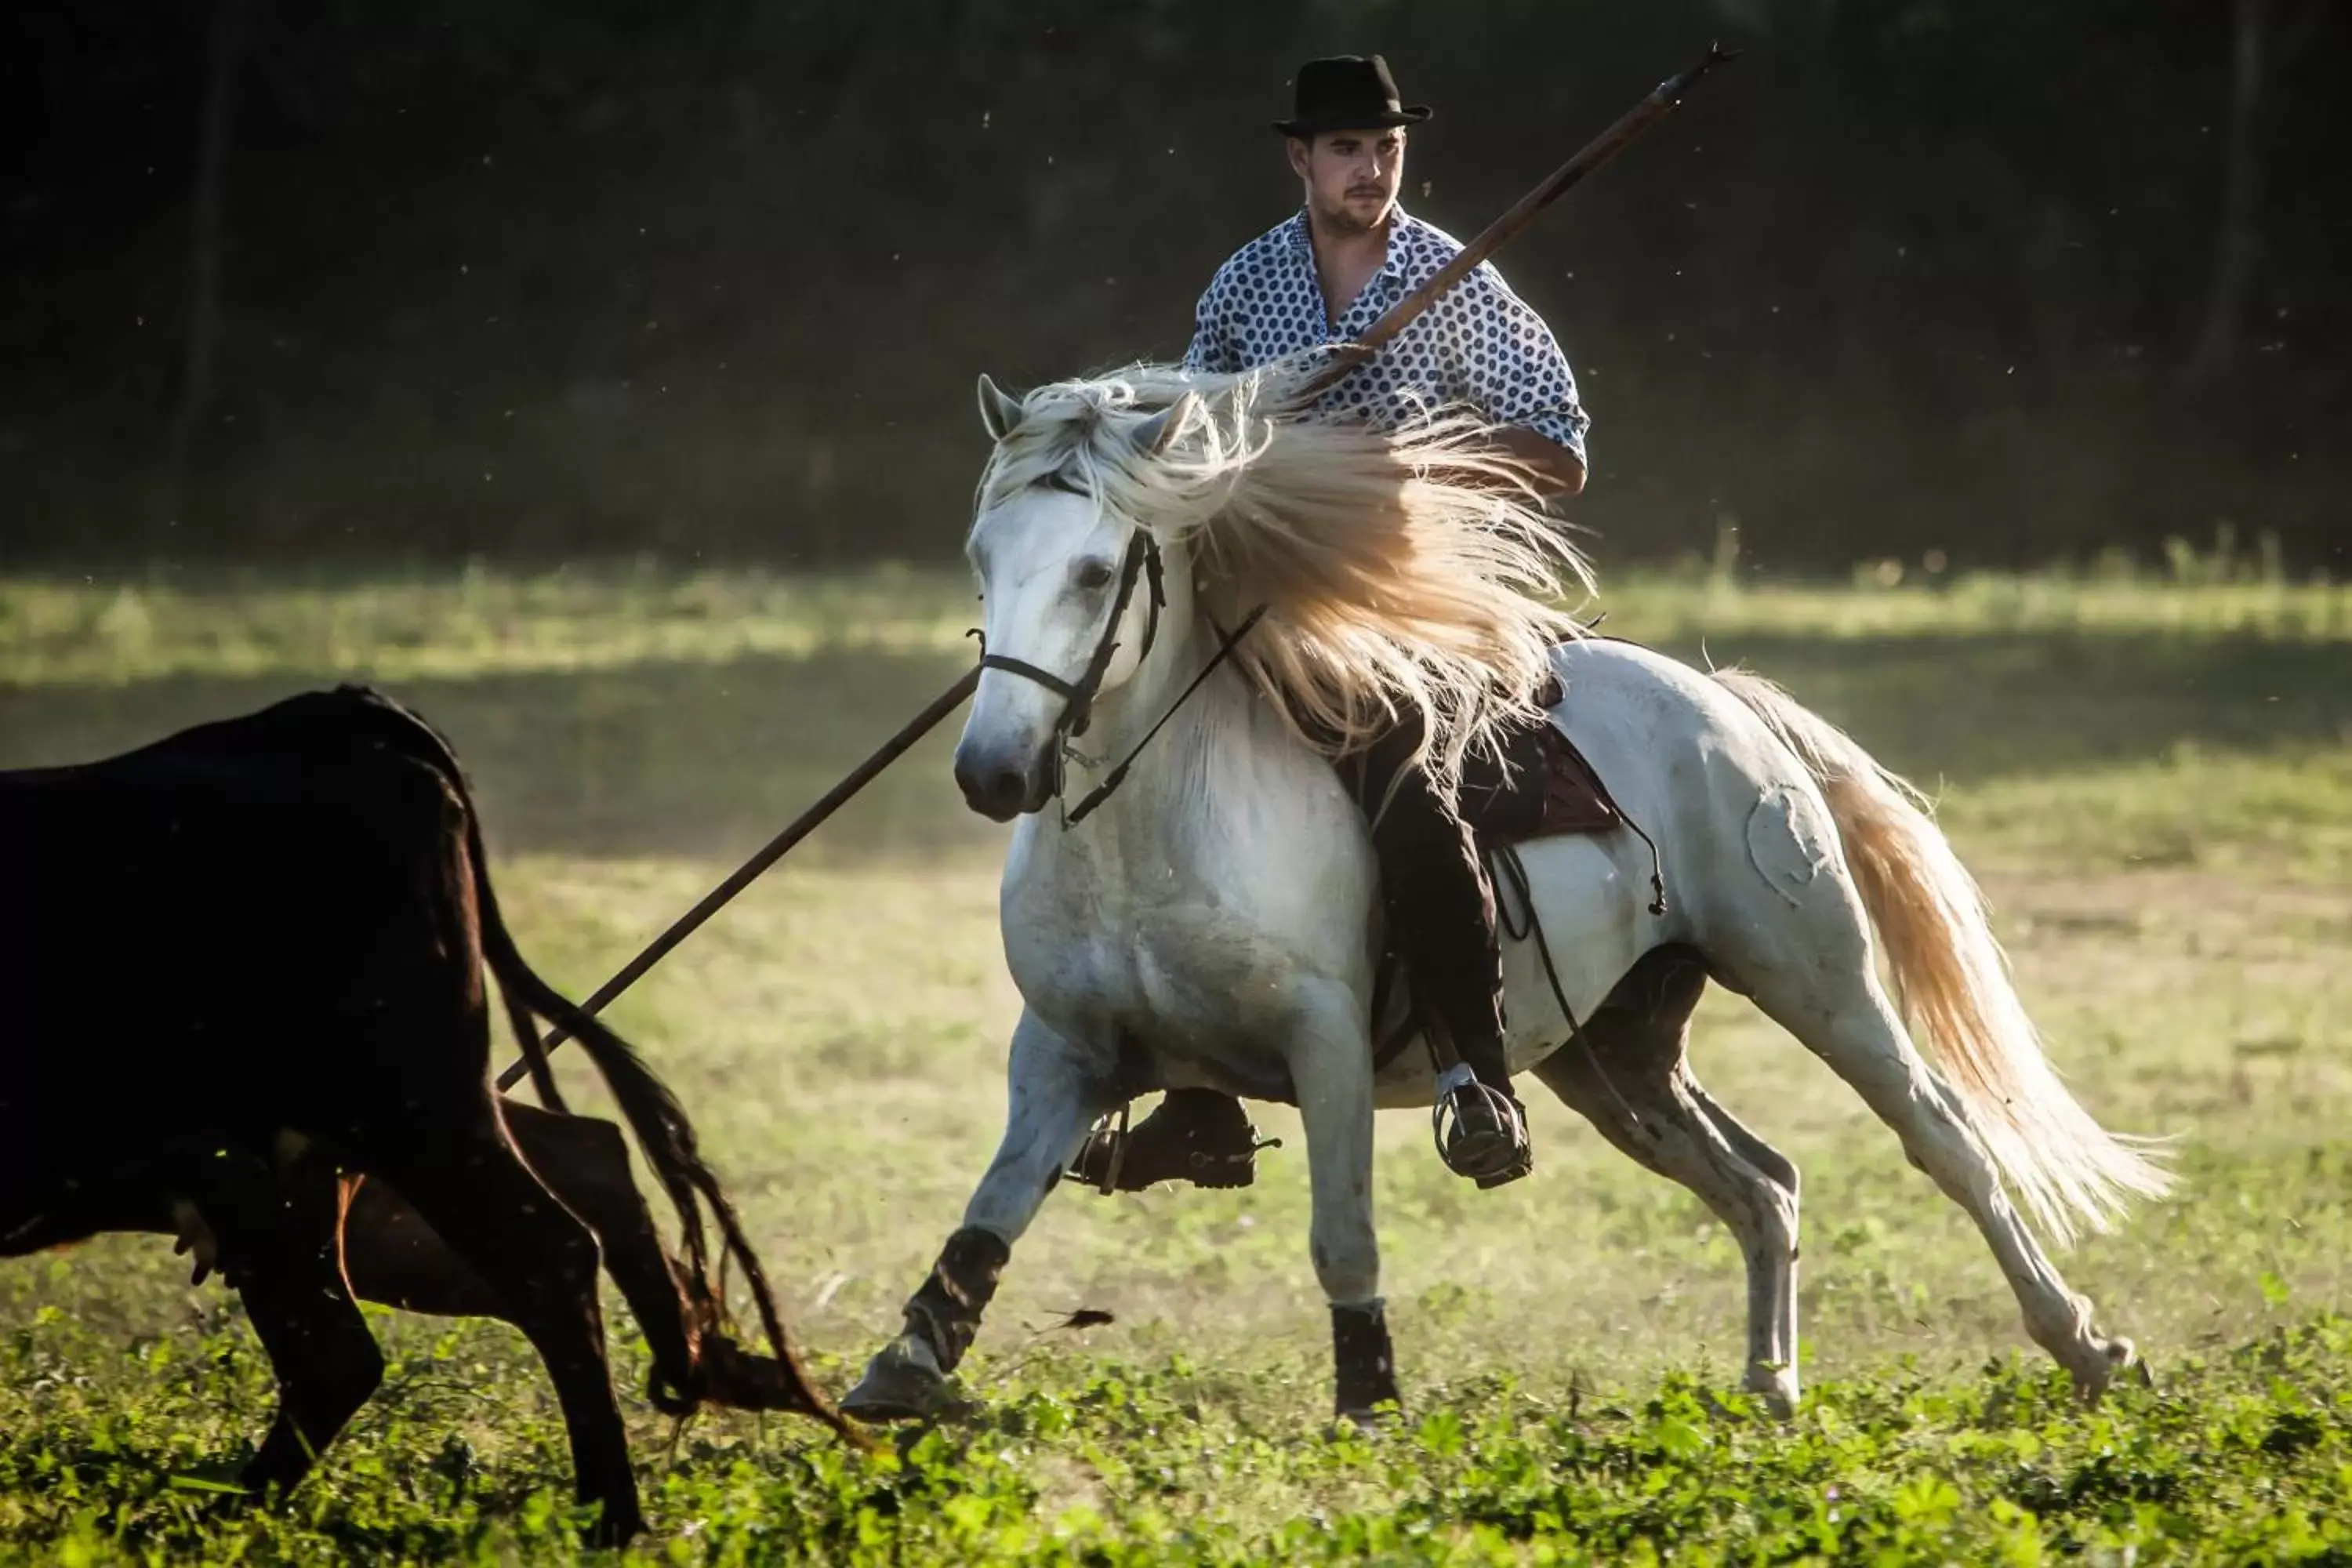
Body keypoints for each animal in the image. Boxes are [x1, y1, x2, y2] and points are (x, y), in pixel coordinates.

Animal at [0, 681, 847, 1542]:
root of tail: (319, 713)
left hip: (404, 1108)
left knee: (536, 1258)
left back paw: (608, 1512)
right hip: (334, 1150)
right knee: (560, 1180)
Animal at [842, 361, 2164, 1429]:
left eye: (1093, 570)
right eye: (983, 561)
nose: (992, 772)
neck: (1153, 820)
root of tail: (1725, 703)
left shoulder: (1324, 1043)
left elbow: (1342, 1237)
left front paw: (1369, 1399)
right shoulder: (1061, 1051)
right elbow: (987, 1215)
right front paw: (902, 1367)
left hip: (1816, 977)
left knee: (1945, 1139)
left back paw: (2090, 1348)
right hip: (1614, 1055)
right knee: (1763, 1186)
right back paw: (1769, 1386)